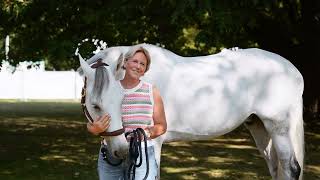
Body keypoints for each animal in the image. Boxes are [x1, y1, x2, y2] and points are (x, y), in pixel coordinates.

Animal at [79, 43, 304, 180]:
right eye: (96, 105)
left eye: (121, 100)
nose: (121, 150)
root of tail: (292, 69)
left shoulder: (153, 141)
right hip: (260, 127)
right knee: (277, 168)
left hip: (279, 127)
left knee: (291, 168)